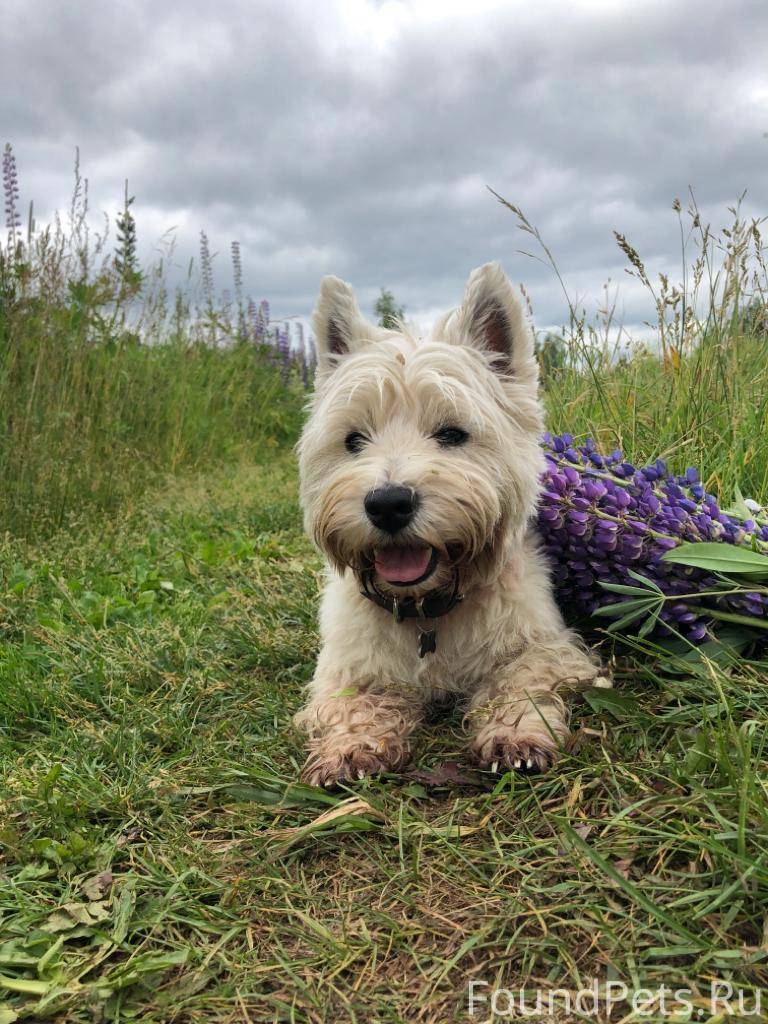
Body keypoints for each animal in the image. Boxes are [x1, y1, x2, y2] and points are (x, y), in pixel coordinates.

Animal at [294, 262, 602, 782]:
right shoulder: (346, 665)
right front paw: (350, 745)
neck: (426, 611)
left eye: (453, 434)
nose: (388, 504)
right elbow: (351, 701)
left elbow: (519, 679)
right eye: (354, 440)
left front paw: (514, 733)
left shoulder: (545, 646)